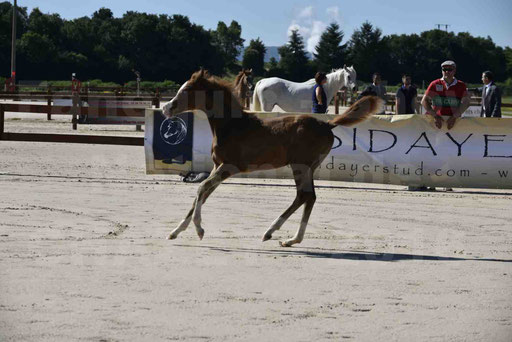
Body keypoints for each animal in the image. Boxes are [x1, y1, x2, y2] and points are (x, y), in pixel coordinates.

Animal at [162, 69, 382, 246]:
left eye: (186, 91)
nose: (166, 109)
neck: (232, 126)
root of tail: (327, 125)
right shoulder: (218, 167)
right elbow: (202, 194)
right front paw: (175, 231)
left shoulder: (230, 167)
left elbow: (201, 188)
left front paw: (199, 230)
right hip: (307, 167)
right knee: (307, 197)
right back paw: (288, 238)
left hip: (300, 166)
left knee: (305, 195)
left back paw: (276, 233)